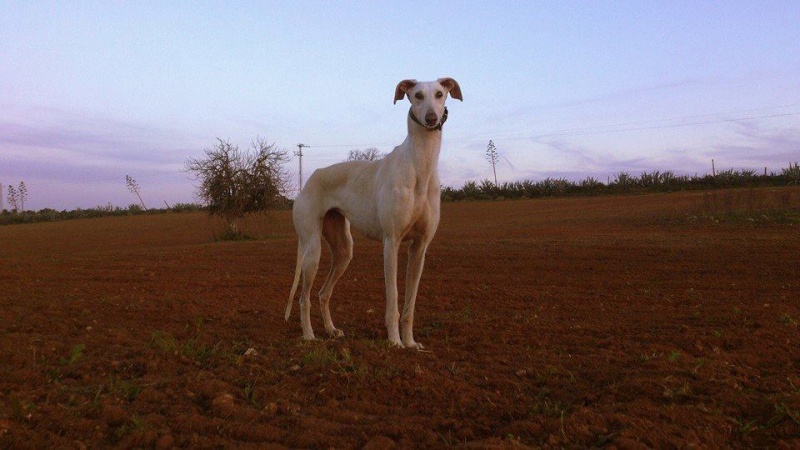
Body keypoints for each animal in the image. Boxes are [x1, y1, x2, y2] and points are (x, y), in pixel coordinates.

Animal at [286, 77, 462, 348]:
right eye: (418, 95)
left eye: (440, 94)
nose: (432, 118)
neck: (419, 166)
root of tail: (310, 178)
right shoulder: (391, 242)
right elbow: (393, 299)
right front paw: (395, 342)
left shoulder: (420, 247)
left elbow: (410, 305)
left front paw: (411, 343)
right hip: (311, 248)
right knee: (304, 297)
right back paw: (309, 335)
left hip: (344, 250)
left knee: (323, 293)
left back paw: (331, 330)